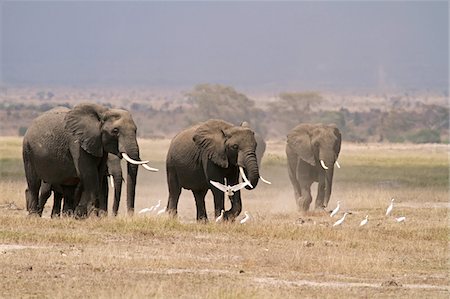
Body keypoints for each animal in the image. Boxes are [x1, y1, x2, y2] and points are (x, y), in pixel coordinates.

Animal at [22, 103, 151, 218]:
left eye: (136, 130)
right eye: (115, 131)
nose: (130, 216)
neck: (103, 113)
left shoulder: (99, 146)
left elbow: (98, 176)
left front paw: (89, 216)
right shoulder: (76, 142)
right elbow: (89, 174)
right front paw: (91, 216)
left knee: (66, 189)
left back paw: (66, 216)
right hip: (28, 150)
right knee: (35, 184)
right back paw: (34, 216)